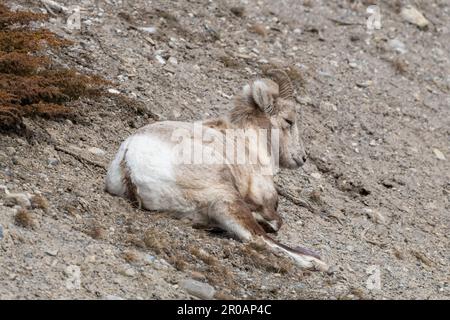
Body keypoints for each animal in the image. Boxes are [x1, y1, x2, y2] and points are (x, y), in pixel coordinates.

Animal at [107, 70, 328, 270]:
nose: (302, 158)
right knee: (257, 237)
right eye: (289, 121)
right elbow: (277, 221)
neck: (248, 141)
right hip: (224, 198)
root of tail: (129, 165)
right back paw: (316, 262)